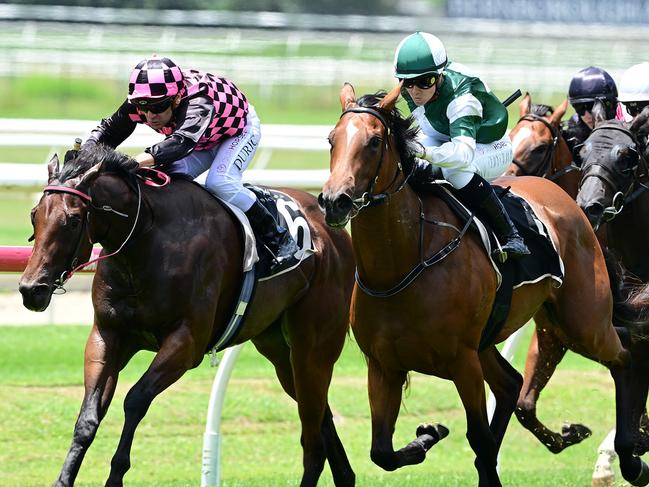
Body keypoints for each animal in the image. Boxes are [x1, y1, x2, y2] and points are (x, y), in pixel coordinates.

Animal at [19, 145, 354, 487]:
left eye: (73, 221)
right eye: (34, 215)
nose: (31, 289)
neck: (146, 238)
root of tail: (329, 226)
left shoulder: (185, 343)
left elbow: (135, 400)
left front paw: (116, 474)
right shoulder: (107, 336)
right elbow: (89, 415)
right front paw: (64, 479)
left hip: (313, 346)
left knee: (312, 433)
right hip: (279, 350)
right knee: (319, 412)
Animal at [318, 82, 648, 486]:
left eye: (374, 141)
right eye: (332, 139)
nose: (335, 200)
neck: (400, 268)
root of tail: (572, 204)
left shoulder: (463, 364)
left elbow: (480, 441)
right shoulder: (382, 367)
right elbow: (382, 452)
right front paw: (428, 434)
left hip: (582, 322)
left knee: (626, 353)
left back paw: (630, 456)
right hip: (514, 334)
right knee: (512, 384)